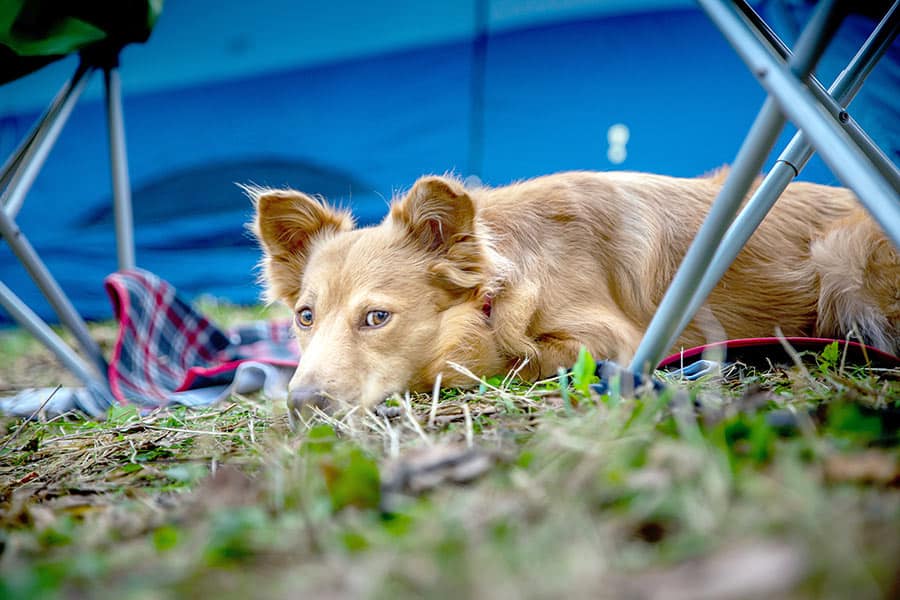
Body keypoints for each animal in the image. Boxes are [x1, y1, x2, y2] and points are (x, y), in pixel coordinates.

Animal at [248, 171, 900, 410]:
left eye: (377, 318)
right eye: (305, 317)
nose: (301, 404)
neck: (504, 285)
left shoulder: (614, 342)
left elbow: (515, 360)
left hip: (843, 257)